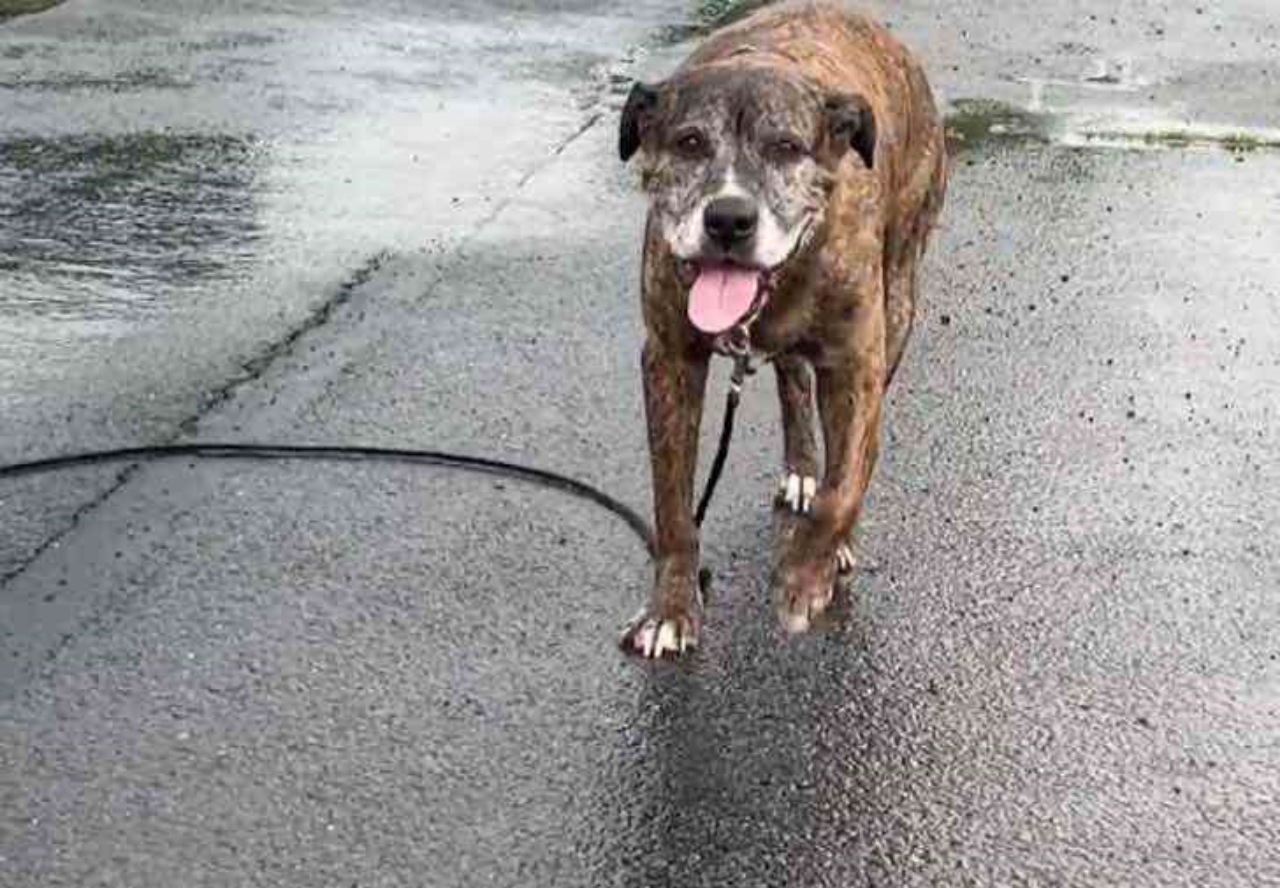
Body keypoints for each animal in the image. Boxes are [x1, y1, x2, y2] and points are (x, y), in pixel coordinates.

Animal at [619, 1, 952, 660]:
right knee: (794, 380)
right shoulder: (670, 360)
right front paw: (671, 609)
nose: (728, 218)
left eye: (785, 148)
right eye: (690, 143)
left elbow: (843, 488)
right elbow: (673, 506)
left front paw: (804, 576)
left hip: (900, 299)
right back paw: (800, 465)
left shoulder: (857, 365)